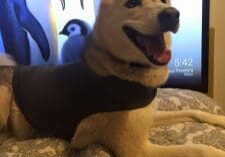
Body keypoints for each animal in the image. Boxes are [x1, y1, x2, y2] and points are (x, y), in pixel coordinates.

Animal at [0, 0, 225, 157]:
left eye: (164, 1)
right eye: (132, 3)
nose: (172, 14)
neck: (126, 69)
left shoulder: (147, 117)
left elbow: (192, 111)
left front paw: (220, 120)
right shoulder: (138, 150)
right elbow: (198, 147)